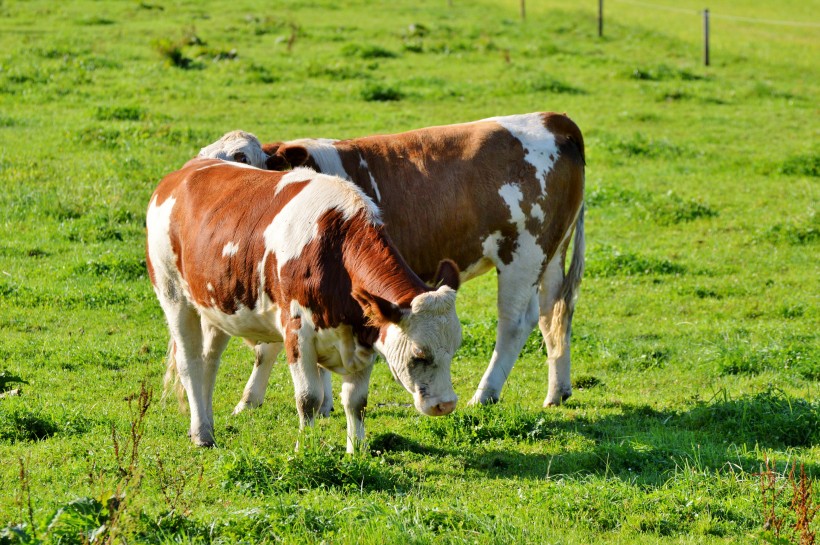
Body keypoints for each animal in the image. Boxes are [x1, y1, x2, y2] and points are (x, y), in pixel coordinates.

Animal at [147, 154, 462, 450]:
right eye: (419, 355)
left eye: (455, 349)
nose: (445, 404)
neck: (335, 248)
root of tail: (184, 172)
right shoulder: (297, 331)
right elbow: (308, 398)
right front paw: (306, 450)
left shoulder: (364, 334)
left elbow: (356, 401)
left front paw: (356, 451)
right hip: (172, 294)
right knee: (190, 363)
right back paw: (202, 434)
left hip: (217, 305)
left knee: (208, 363)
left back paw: (205, 426)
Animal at [223, 112, 584, 410]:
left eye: (243, 158)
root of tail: (554, 119)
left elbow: (271, 346)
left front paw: (252, 400)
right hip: (551, 255)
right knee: (554, 312)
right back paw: (557, 391)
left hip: (522, 254)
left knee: (515, 322)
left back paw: (485, 394)